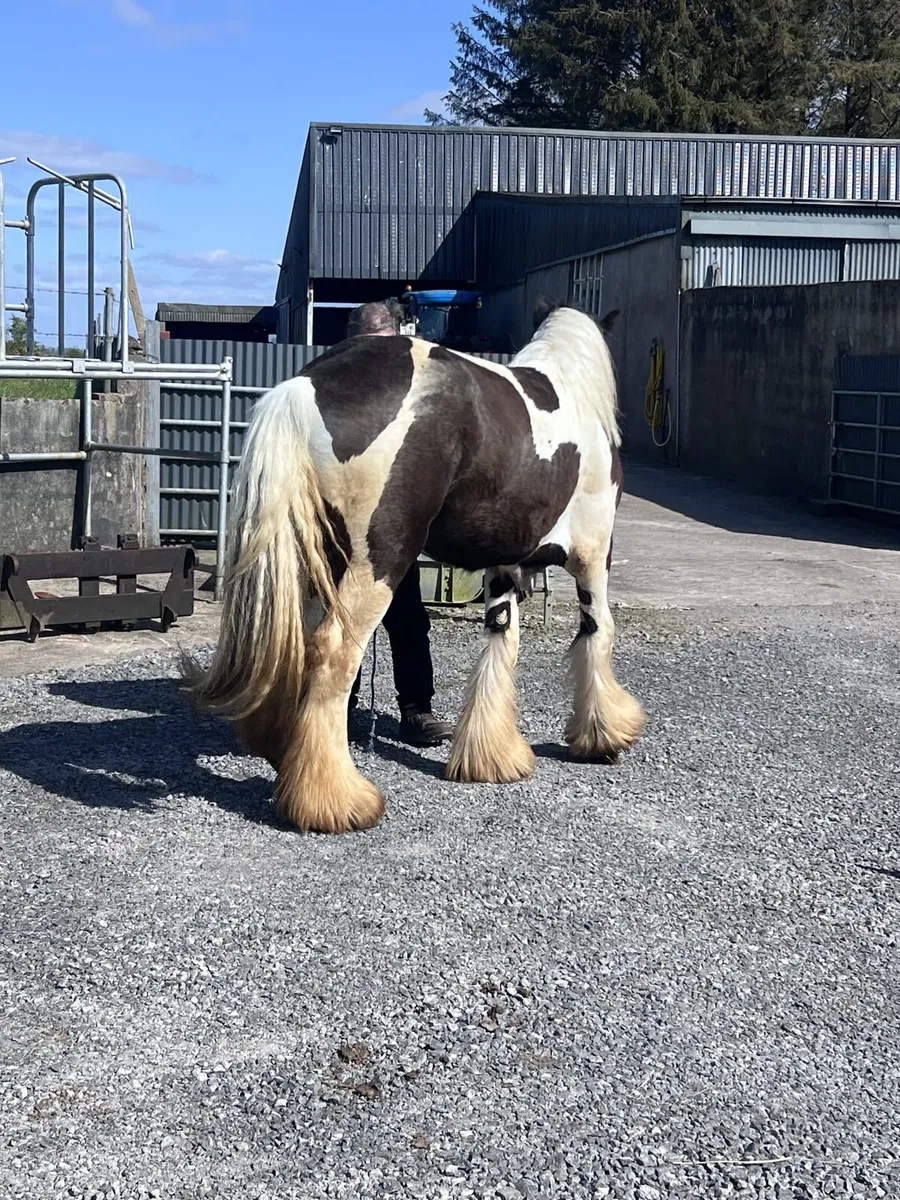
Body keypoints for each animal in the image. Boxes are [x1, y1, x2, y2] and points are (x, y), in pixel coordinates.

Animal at [183, 303, 647, 834]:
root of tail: (308, 385)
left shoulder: (502, 567)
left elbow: (501, 640)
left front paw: (492, 757)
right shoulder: (592, 558)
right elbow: (598, 633)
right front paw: (605, 736)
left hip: (317, 564)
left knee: (296, 643)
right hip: (377, 563)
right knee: (333, 655)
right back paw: (335, 801)